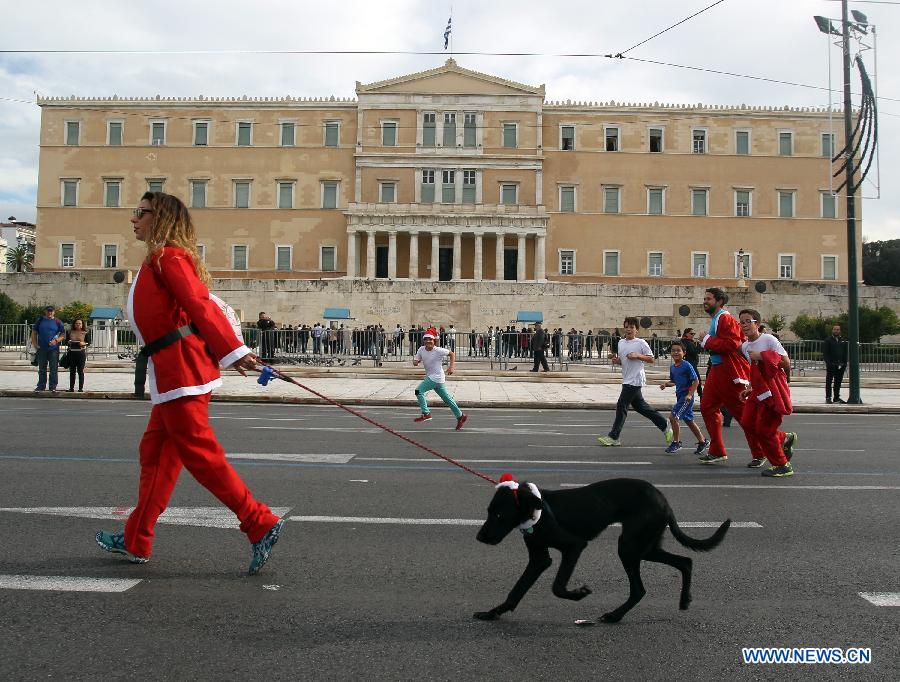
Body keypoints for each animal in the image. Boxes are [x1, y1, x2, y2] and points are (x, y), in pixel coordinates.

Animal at [474, 472, 728, 620]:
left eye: (499, 515)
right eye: (488, 511)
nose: (479, 537)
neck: (537, 511)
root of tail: (663, 499)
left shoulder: (574, 546)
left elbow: (557, 586)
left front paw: (579, 594)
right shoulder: (538, 559)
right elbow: (517, 590)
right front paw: (493, 613)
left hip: (629, 547)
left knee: (640, 589)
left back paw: (615, 616)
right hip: (645, 548)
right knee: (685, 562)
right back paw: (684, 600)